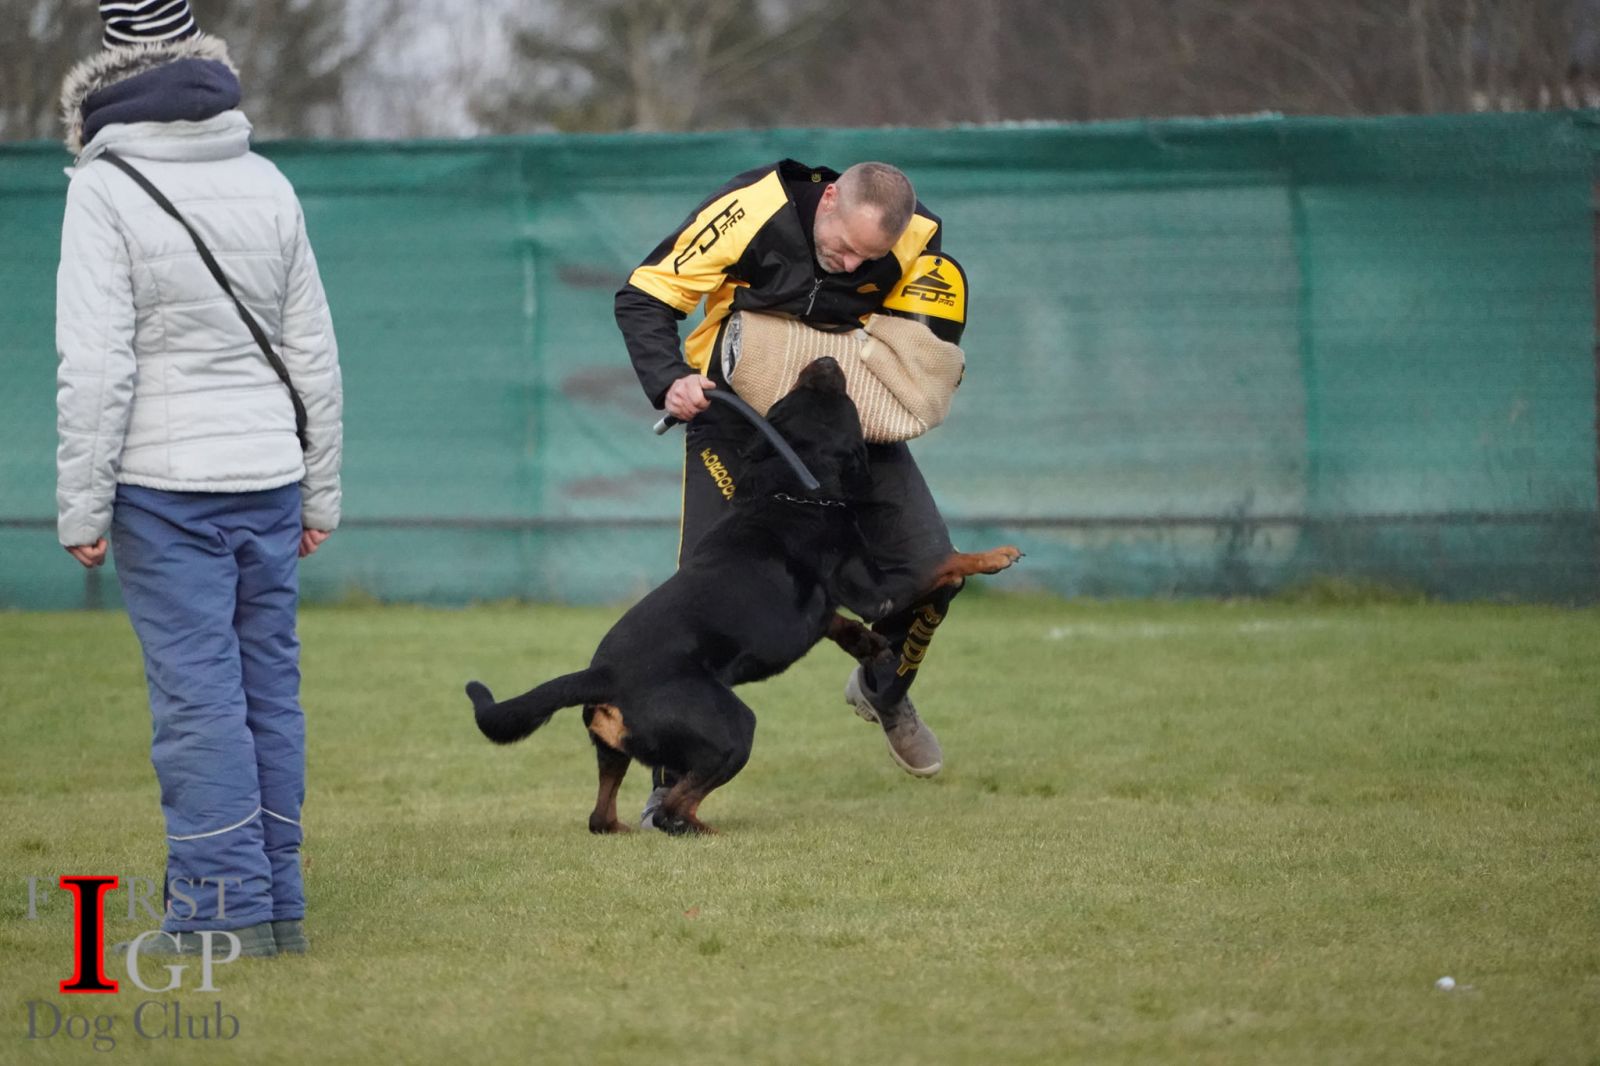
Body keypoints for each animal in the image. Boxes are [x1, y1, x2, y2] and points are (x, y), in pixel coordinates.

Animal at [466, 357, 1020, 834]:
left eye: (784, 401)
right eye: (829, 398)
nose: (824, 359)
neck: (794, 488)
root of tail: (602, 673)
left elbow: (835, 622)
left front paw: (866, 643)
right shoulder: (873, 589)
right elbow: (938, 562)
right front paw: (995, 555)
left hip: (615, 749)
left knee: (601, 817)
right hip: (730, 728)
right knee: (672, 808)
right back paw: (706, 830)